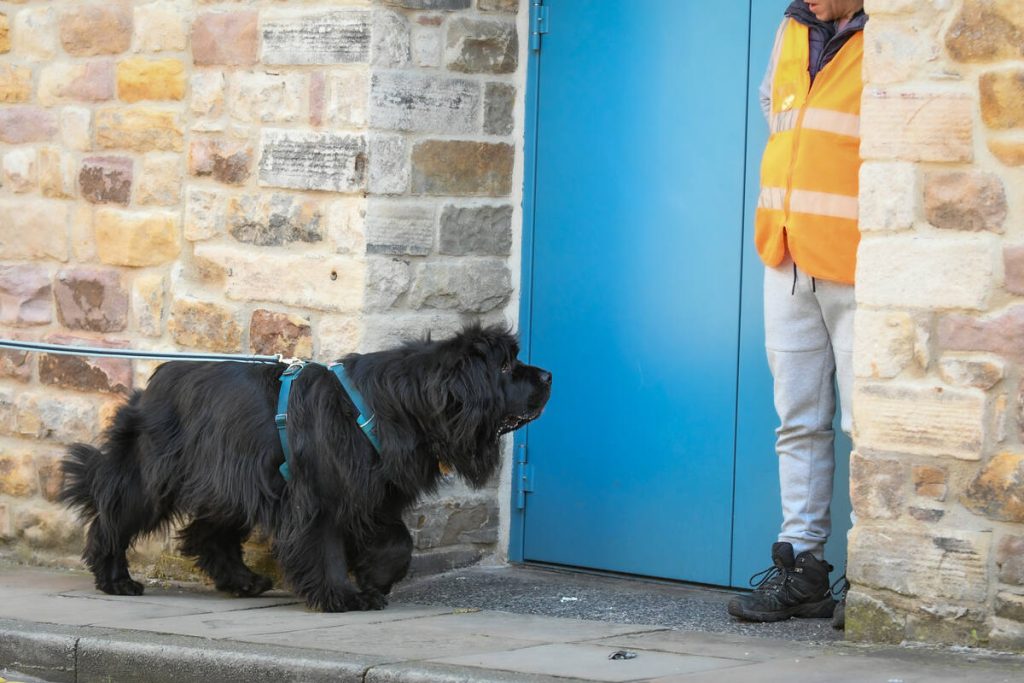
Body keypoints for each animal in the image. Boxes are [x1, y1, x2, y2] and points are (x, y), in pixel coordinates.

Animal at [59, 325, 548, 614]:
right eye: (506, 366)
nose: (547, 376)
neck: (396, 405)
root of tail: (154, 383)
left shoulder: (371, 492)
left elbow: (397, 541)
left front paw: (375, 582)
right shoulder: (320, 495)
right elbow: (325, 546)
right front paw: (342, 596)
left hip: (231, 480)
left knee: (209, 533)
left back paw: (245, 582)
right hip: (156, 474)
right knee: (115, 516)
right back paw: (116, 579)